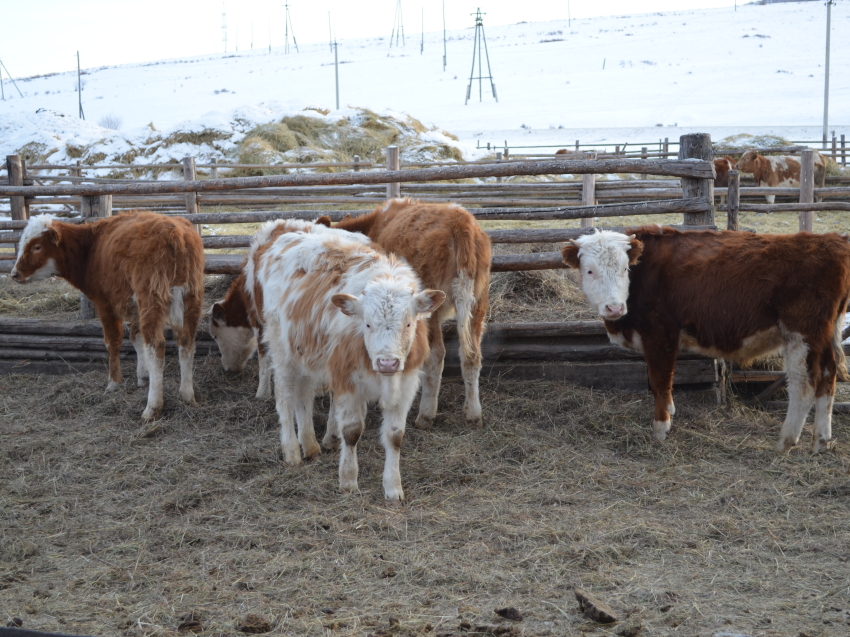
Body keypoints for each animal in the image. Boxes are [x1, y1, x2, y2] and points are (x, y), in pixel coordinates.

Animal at [248, 221, 440, 500]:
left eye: (408, 324)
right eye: (367, 324)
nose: (387, 363)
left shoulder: (405, 382)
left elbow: (395, 436)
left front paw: (393, 488)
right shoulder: (346, 381)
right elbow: (351, 431)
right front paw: (348, 480)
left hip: (306, 354)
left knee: (304, 395)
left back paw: (310, 444)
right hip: (281, 350)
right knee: (285, 397)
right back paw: (292, 451)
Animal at [320, 199, 490, 428]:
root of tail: (461, 220)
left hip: (429, 307)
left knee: (436, 355)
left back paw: (426, 415)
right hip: (478, 303)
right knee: (471, 356)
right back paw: (473, 413)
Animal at [556, 225, 848, 452]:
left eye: (625, 268)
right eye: (589, 271)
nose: (614, 308)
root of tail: (831, 241)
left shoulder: (660, 335)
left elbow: (660, 380)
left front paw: (661, 428)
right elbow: (661, 383)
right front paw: (670, 411)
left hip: (802, 334)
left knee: (804, 384)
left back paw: (786, 442)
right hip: (825, 335)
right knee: (828, 376)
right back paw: (821, 440)